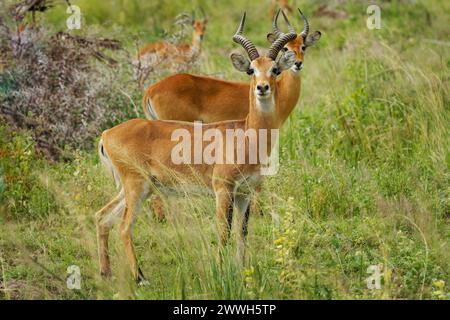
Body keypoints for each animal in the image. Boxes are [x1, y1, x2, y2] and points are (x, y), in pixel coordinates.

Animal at [95, 11, 298, 282]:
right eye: (251, 70)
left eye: (274, 69)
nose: (262, 87)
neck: (245, 136)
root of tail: (106, 134)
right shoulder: (223, 190)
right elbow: (223, 232)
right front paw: (222, 273)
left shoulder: (244, 193)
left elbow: (242, 233)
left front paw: (243, 272)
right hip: (136, 186)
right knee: (124, 226)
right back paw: (140, 277)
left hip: (136, 188)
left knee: (102, 217)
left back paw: (106, 272)